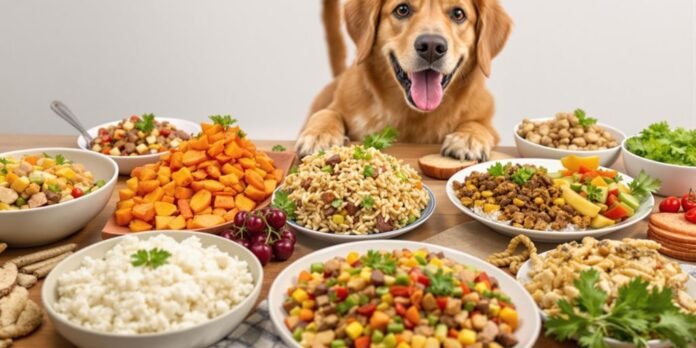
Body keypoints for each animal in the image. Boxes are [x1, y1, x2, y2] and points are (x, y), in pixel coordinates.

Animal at [294, 0, 512, 161]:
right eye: (402, 9)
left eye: (458, 14)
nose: (431, 46)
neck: (413, 114)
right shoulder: (336, 107)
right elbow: (327, 114)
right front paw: (320, 135)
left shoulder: (487, 122)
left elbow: (479, 124)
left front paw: (468, 138)